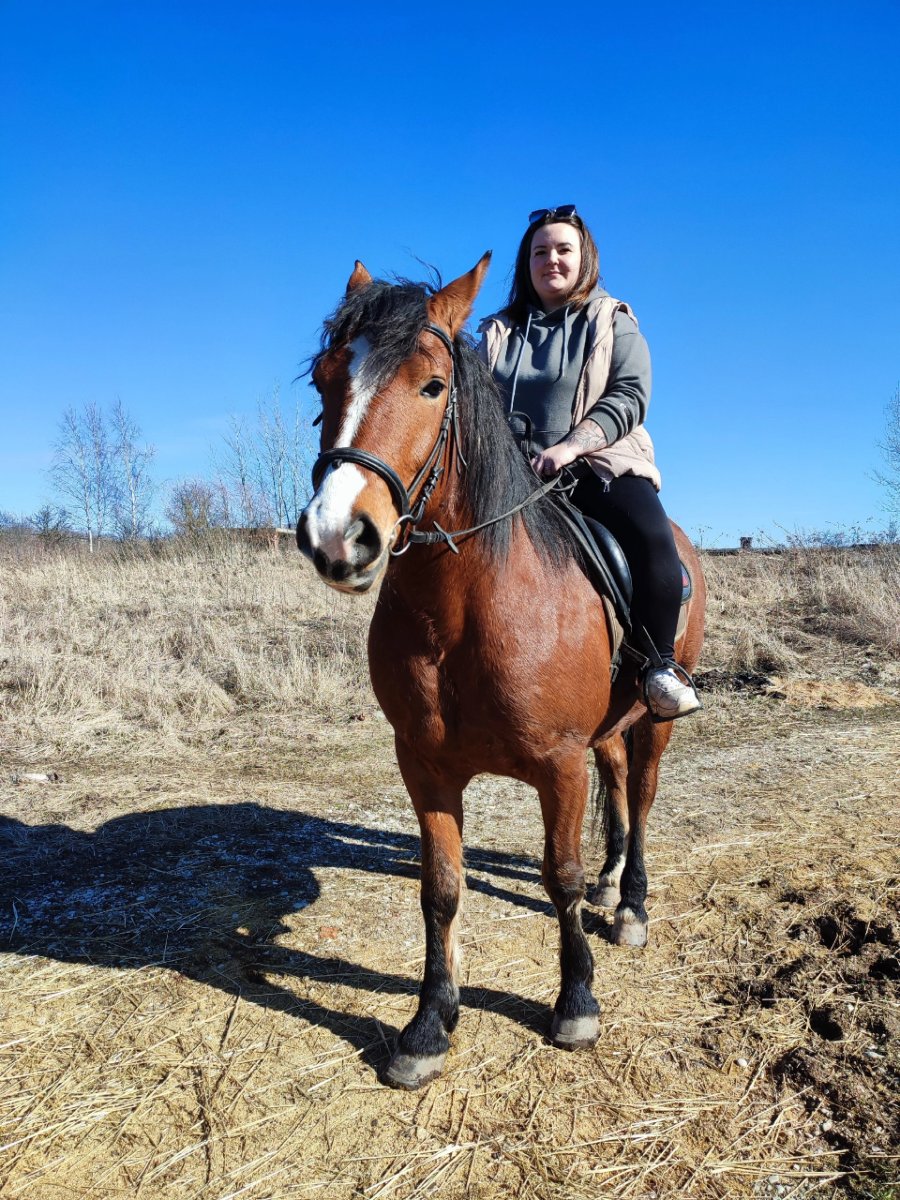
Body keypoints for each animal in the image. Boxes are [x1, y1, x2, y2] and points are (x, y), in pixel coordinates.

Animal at [296, 254, 706, 1090]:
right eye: (324, 382)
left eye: (432, 386)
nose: (338, 536)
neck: (464, 611)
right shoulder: (425, 767)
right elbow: (441, 890)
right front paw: (429, 1022)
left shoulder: (558, 765)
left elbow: (560, 876)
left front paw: (576, 1001)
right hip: (607, 732)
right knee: (620, 788)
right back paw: (616, 882)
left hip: (654, 722)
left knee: (643, 799)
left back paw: (631, 905)